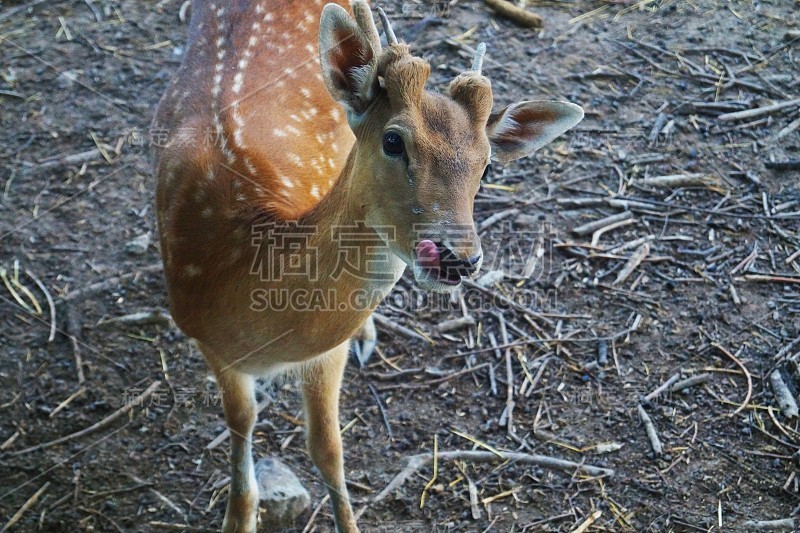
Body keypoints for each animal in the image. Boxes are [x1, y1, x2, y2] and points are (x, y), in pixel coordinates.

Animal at [153, 2, 584, 528]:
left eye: (486, 165)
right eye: (394, 141)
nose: (457, 257)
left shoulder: (326, 352)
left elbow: (328, 449)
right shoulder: (205, 338)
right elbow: (242, 421)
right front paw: (238, 519)